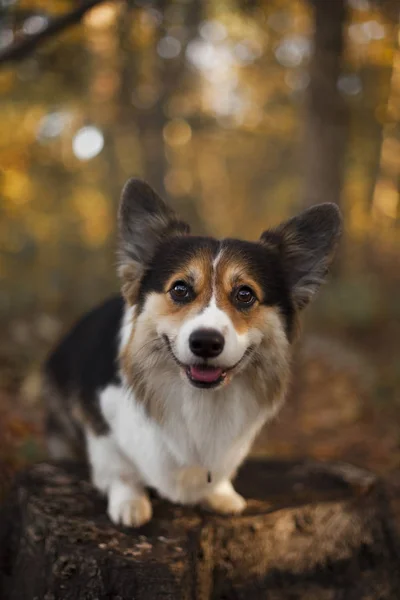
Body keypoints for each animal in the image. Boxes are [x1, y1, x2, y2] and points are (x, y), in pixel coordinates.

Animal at [45, 178, 342, 524]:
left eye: (245, 294)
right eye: (180, 289)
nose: (206, 342)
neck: (199, 398)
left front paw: (220, 494)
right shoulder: (99, 421)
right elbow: (119, 467)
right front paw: (130, 504)